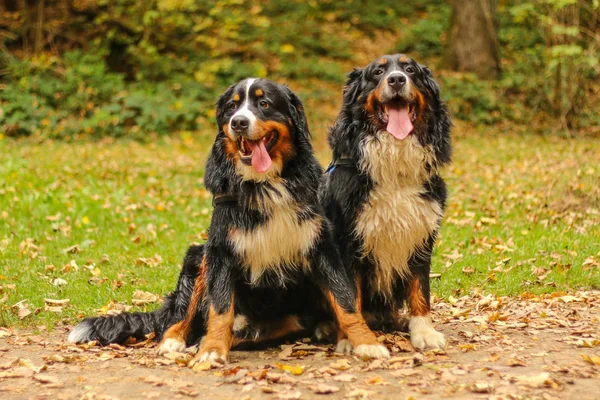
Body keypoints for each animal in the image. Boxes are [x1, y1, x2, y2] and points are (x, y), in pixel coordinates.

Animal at [69, 77, 390, 362]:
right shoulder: (221, 251)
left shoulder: (321, 248)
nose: (238, 123)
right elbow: (221, 309)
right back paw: (178, 341)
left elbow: (346, 302)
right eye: (232, 107)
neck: (263, 184)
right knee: (182, 317)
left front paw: (367, 343)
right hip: (199, 257)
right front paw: (212, 350)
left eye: (263, 103)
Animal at [318, 55, 450, 350]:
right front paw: (352, 339)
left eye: (410, 69)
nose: (397, 79)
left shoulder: (421, 236)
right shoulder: (347, 243)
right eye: (378, 72)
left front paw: (423, 331)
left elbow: (420, 290)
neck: (393, 169)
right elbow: (348, 297)